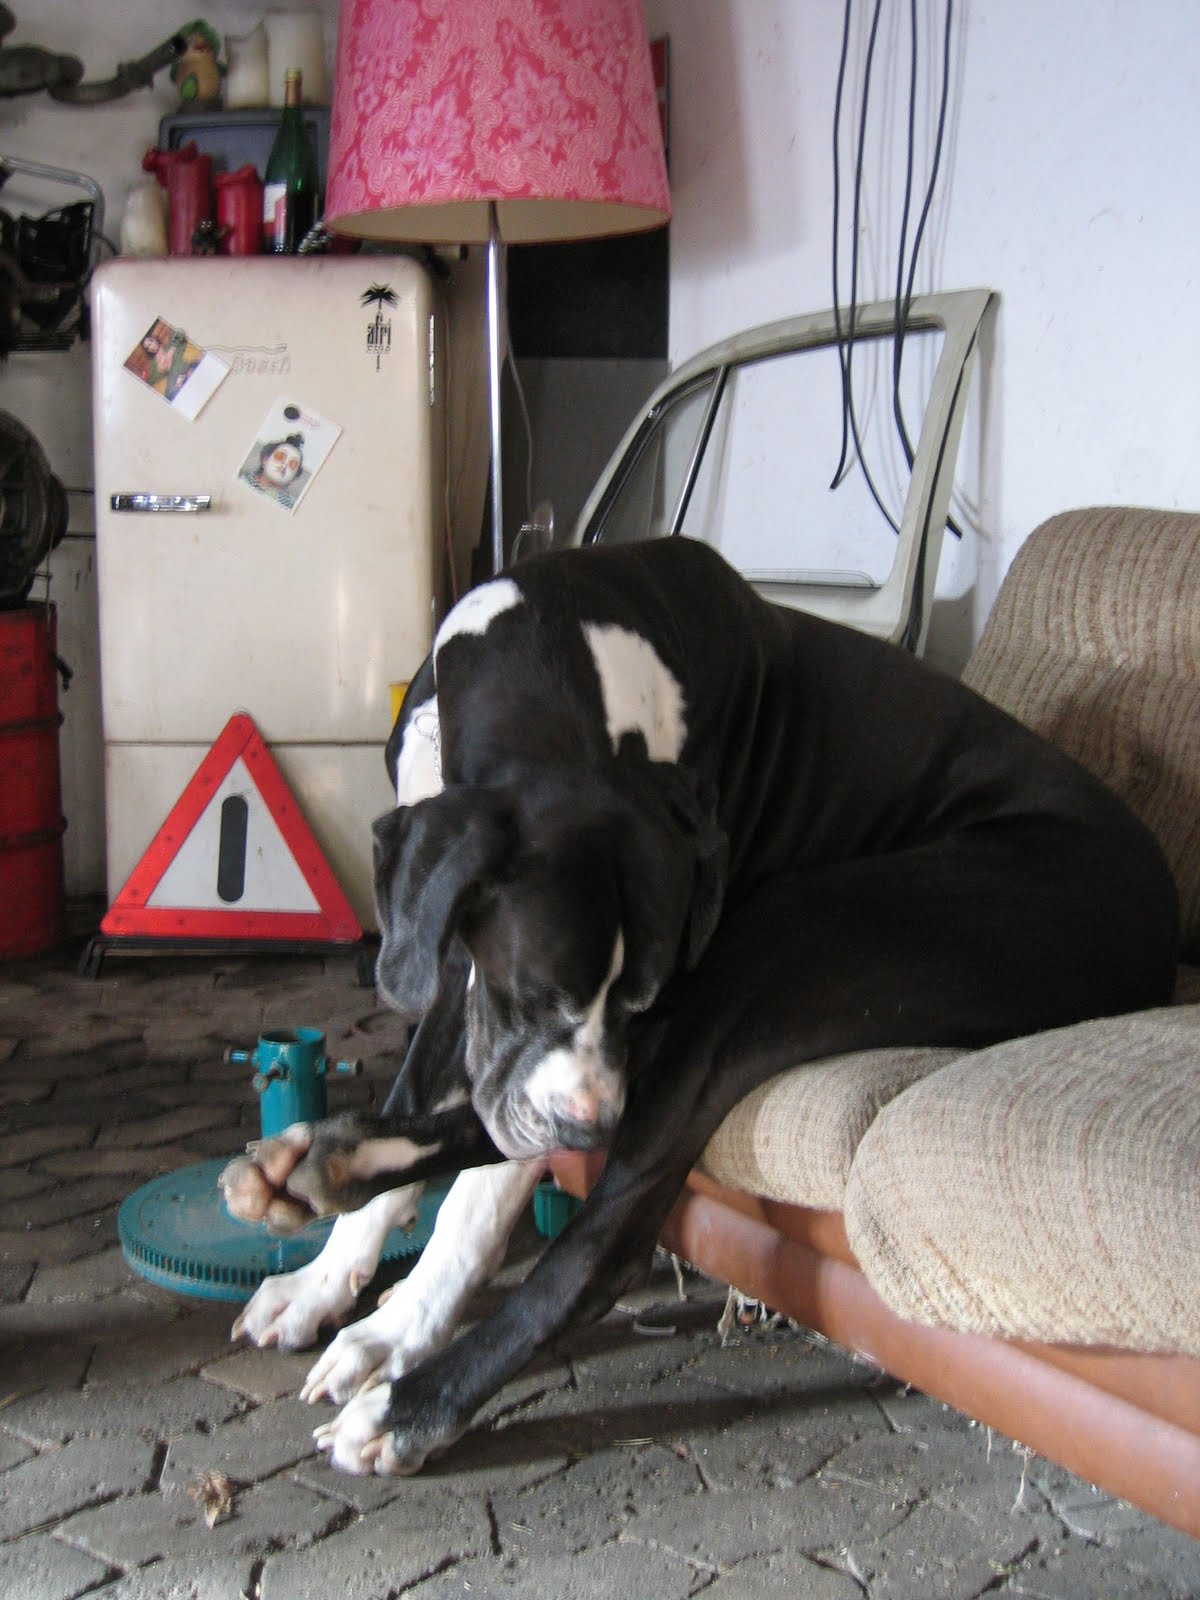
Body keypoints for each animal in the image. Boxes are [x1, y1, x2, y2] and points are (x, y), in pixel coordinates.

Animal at [220, 535, 1179, 1475]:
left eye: (646, 1000)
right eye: (532, 994)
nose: (587, 1132)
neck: (558, 657)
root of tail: (1161, 917)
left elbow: (480, 1198)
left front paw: (394, 1337)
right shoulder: (454, 958)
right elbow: (429, 1090)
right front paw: (323, 1284)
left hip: (783, 933)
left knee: (605, 1244)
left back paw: (416, 1402)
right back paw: (324, 1161)